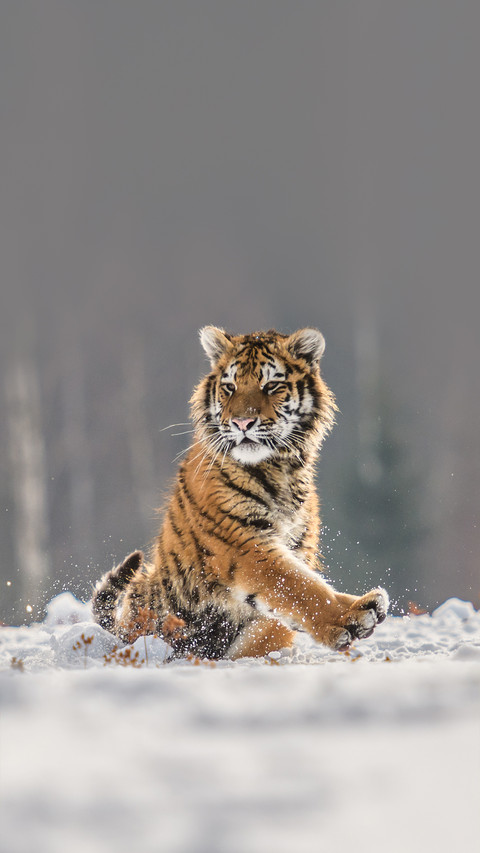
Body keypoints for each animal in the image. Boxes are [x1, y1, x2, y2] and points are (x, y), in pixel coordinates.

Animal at [92, 326, 389, 659]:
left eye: (271, 385)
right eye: (230, 387)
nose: (242, 422)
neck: (281, 470)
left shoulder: (296, 546)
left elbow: (291, 598)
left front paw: (360, 607)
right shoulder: (243, 544)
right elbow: (299, 587)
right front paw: (347, 620)